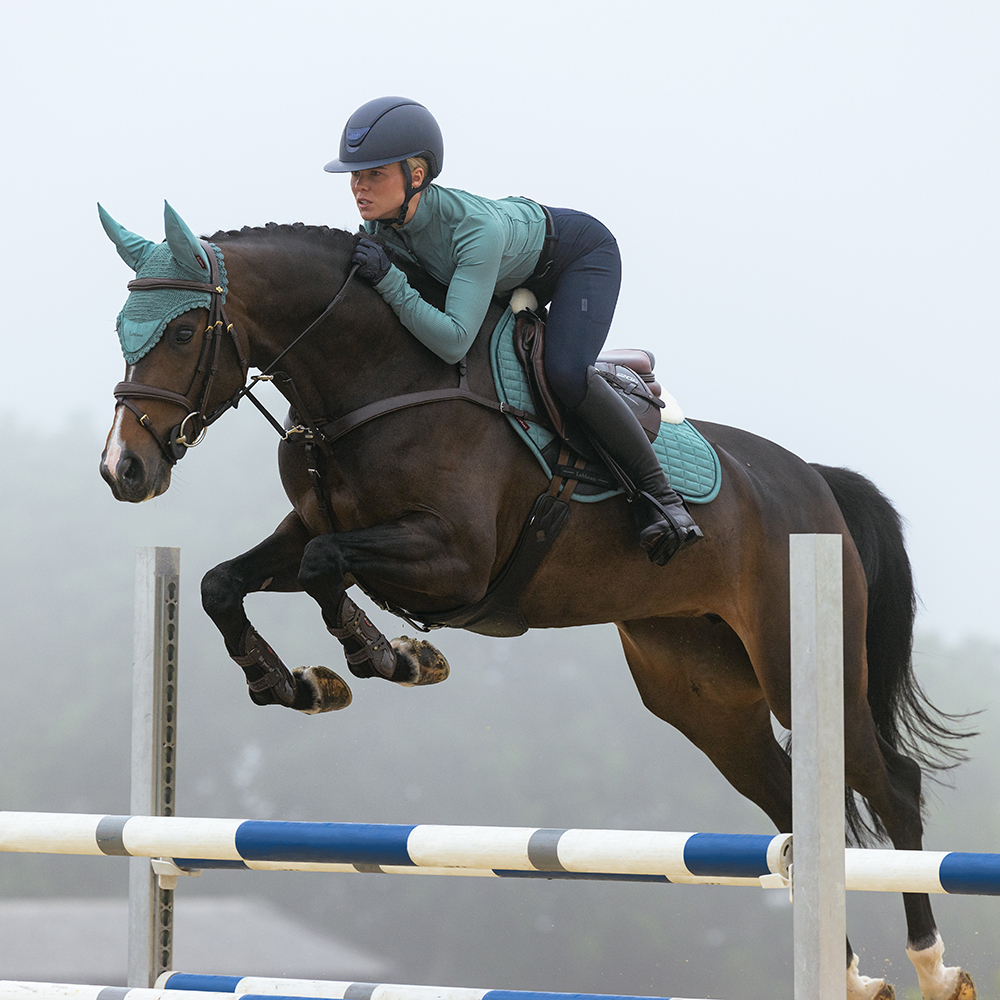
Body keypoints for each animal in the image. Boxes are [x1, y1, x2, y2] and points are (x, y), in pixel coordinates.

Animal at [98, 202, 973, 1000]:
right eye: (122, 327)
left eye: (184, 333)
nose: (123, 470)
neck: (380, 379)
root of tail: (814, 480)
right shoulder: (314, 528)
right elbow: (225, 582)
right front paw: (294, 682)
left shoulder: (455, 561)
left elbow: (324, 568)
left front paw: (389, 656)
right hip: (700, 692)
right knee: (789, 800)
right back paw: (854, 977)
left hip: (801, 663)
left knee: (890, 782)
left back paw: (933, 968)